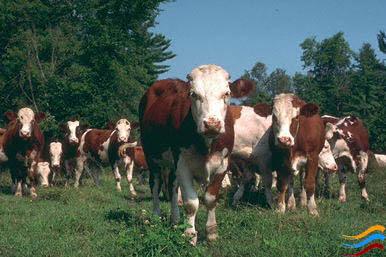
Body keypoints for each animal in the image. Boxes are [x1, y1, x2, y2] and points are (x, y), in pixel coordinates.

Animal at [139, 64, 253, 244]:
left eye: (226, 93)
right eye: (193, 94)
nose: (212, 124)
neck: (207, 144)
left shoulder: (222, 164)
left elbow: (210, 198)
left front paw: (212, 232)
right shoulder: (183, 164)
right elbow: (191, 202)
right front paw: (190, 234)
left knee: (172, 186)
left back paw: (175, 220)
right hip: (151, 155)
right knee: (155, 184)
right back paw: (156, 216)